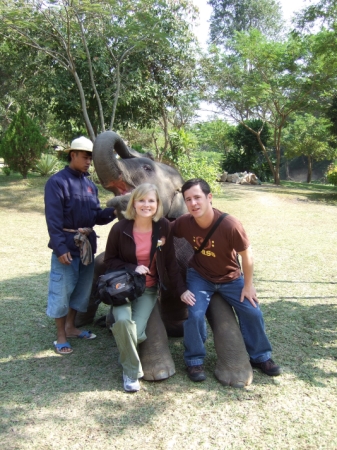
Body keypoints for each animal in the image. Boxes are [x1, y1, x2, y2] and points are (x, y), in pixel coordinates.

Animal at [75, 130, 252, 386]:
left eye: (147, 168)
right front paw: (159, 374)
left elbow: (218, 302)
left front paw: (238, 381)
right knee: (99, 264)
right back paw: (89, 324)